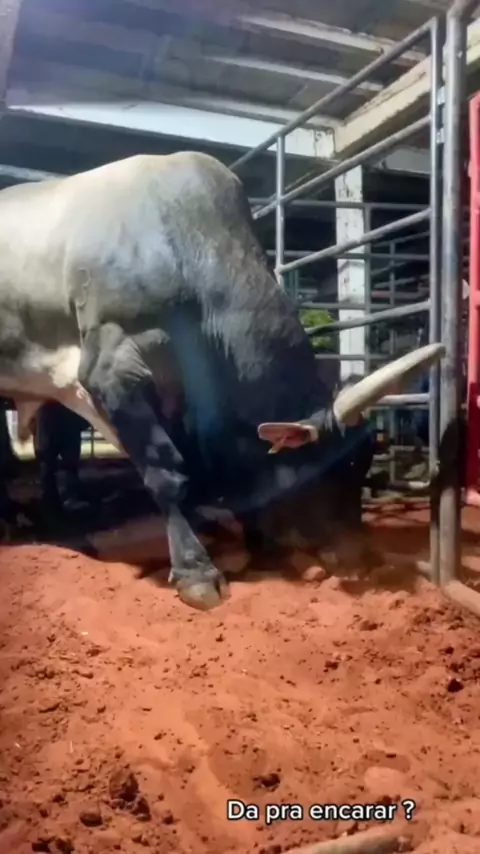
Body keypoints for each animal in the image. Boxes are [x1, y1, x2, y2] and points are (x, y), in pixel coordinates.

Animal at [0, 152, 444, 609]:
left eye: (362, 466)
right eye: (321, 471)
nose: (361, 559)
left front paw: (256, 545)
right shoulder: (110, 374)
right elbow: (168, 474)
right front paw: (196, 571)